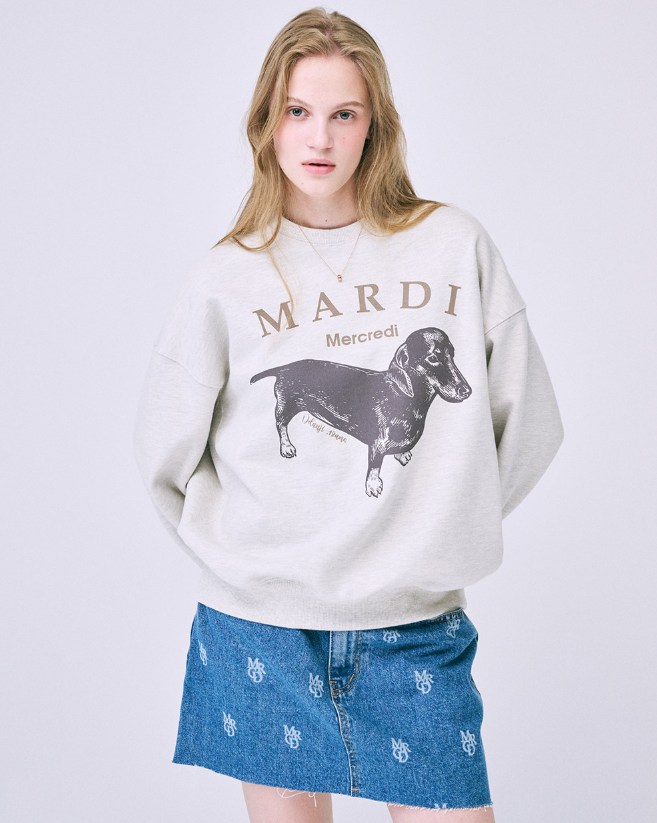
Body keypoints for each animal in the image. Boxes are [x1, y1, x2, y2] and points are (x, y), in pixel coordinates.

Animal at [250, 327, 472, 497]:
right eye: (432, 357)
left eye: (452, 354)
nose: (467, 391)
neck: (404, 397)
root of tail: (285, 367)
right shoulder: (377, 444)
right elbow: (374, 466)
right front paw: (373, 486)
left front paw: (402, 454)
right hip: (286, 406)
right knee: (280, 425)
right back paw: (286, 447)